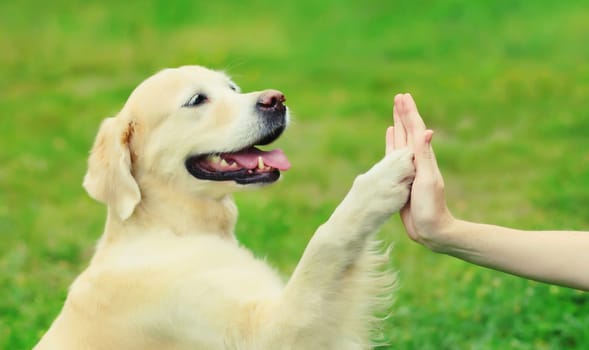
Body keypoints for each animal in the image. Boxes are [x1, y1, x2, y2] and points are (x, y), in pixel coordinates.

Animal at [35, 66, 414, 350]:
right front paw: (381, 180)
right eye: (196, 99)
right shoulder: (266, 334)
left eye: (232, 88)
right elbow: (325, 243)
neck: (174, 228)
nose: (276, 99)